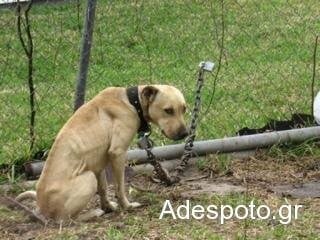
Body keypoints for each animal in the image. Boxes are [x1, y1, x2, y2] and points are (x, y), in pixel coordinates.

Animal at [16, 85, 188, 221]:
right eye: (168, 110)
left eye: (184, 109)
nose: (185, 133)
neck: (132, 102)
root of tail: (41, 207)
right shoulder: (118, 154)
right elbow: (120, 186)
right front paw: (127, 206)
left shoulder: (99, 165)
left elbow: (104, 189)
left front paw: (109, 207)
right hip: (88, 178)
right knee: (67, 219)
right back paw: (93, 213)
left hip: (92, 173)